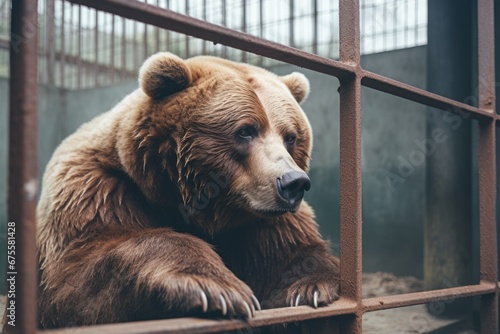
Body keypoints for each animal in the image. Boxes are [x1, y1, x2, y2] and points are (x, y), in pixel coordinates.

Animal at [36, 52, 340, 328]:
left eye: (290, 137)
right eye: (245, 131)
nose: (293, 182)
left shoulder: (260, 220)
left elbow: (291, 252)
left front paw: (310, 289)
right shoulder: (97, 190)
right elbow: (78, 278)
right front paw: (217, 289)